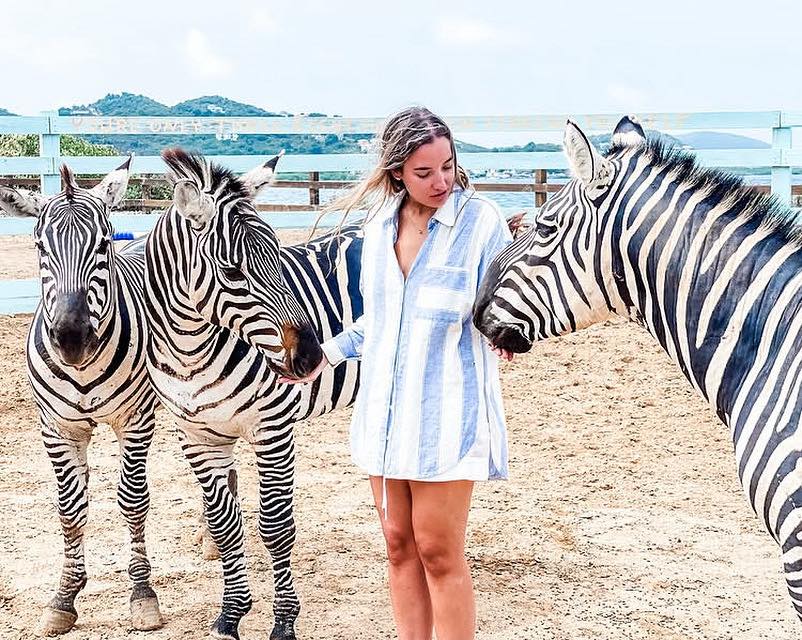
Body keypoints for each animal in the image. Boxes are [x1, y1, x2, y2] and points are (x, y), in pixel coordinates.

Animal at [0, 160, 164, 635]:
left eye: (104, 244)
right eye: (39, 245)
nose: (72, 338)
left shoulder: (136, 419)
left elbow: (133, 500)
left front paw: (142, 595)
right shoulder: (57, 428)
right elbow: (70, 510)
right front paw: (64, 598)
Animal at [144, 148, 362, 640]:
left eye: (280, 257)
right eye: (231, 271)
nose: (311, 357)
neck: (190, 353)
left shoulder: (273, 428)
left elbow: (275, 526)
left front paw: (284, 622)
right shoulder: (197, 438)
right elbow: (226, 526)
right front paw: (231, 614)